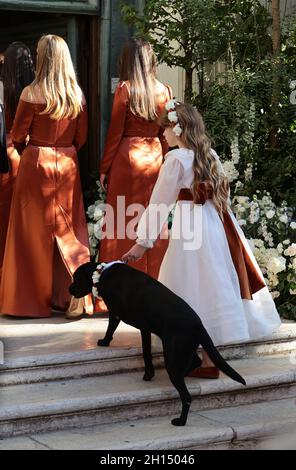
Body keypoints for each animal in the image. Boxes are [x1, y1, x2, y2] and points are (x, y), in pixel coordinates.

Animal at [69, 262, 245, 428]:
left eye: (76, 278)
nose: (70, 290)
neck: (102, 272)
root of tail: (198, 325)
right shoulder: (145, 329)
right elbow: (146, 353)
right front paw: (149, 374)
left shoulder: (115, 313)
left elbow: (110, 329)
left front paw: (104, 342)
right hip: (183, 348)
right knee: (196, 361)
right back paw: (185, 374)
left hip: (173, 355)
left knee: (187, 396)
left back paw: (181, 421)